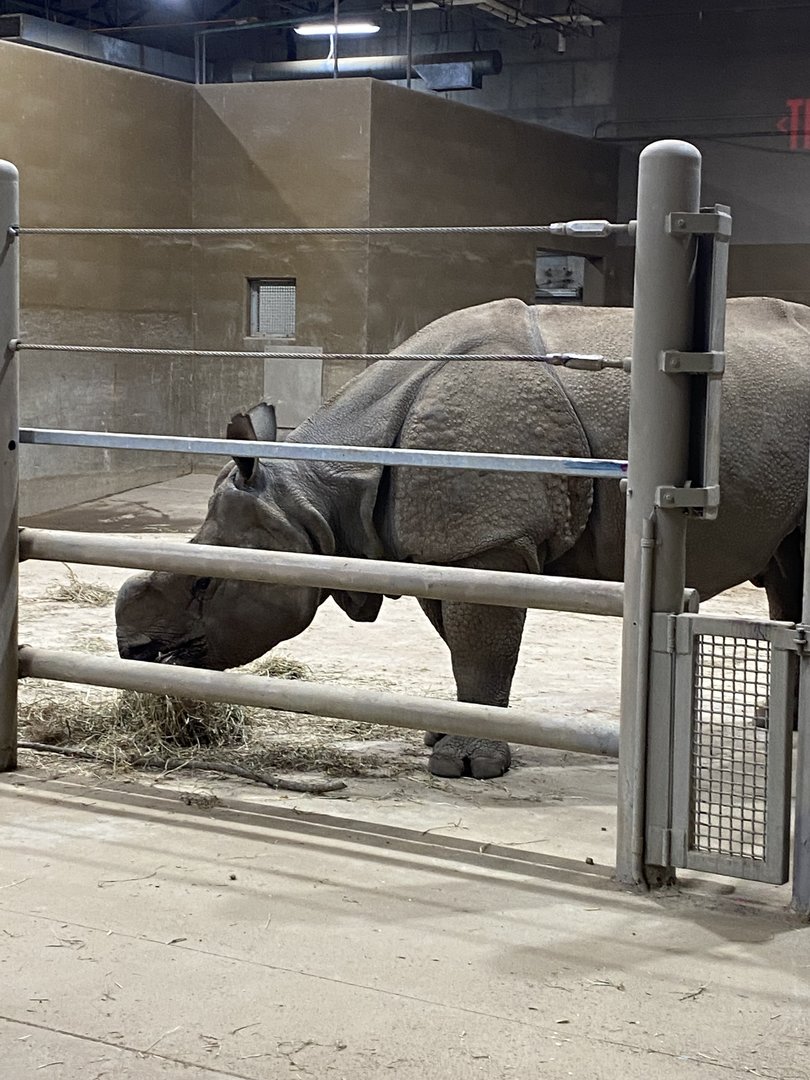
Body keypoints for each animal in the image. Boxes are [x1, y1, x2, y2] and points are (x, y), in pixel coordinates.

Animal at [115, 296, 810, 779]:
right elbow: (463, 643)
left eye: (205, 584)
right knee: (787, 574)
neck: (317, 491)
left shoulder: (487, 538)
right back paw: (778, 726)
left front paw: (464, 768)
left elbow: (481, 647)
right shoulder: (444, 543)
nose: (134, 651)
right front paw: (442, 737)